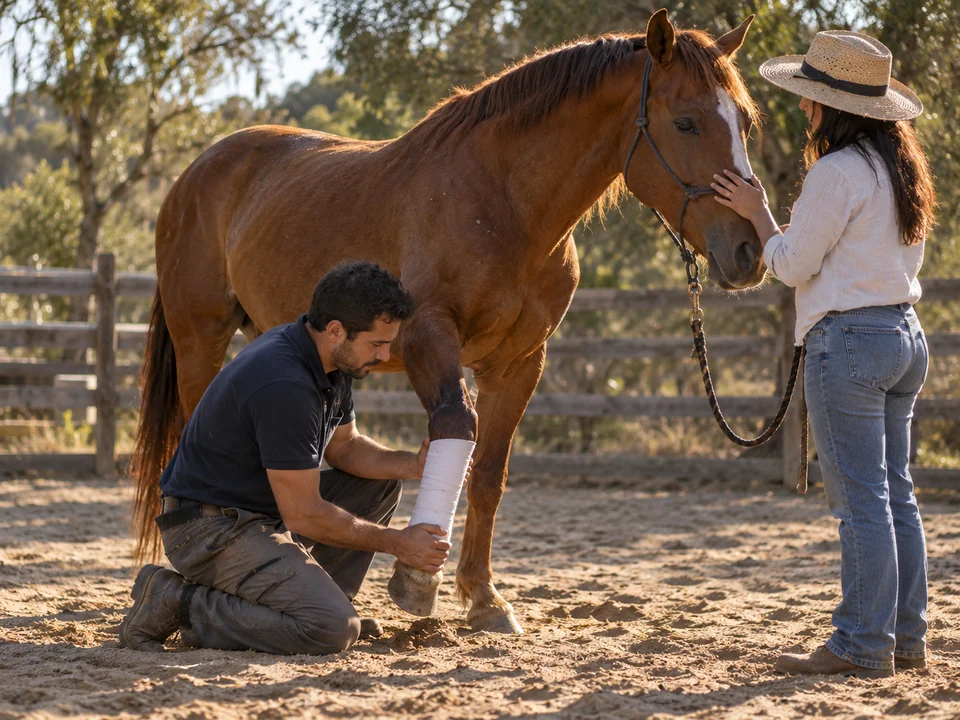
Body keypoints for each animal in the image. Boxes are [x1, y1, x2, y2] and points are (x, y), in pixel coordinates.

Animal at [132, 9, 764, 634]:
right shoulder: (428, 337)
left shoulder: (518, 363)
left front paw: (484, 597)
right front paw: (418, 579)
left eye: (745, 124)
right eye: (686, 123)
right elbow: (457, 428)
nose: (750, 250)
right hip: (200, 338)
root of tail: (195, 172)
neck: (506, 204)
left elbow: (486, 474)